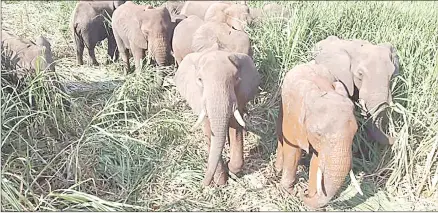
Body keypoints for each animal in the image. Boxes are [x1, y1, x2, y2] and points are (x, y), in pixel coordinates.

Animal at [174, 49, 260, 186]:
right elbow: (209, 132)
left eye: (237, 79)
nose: (202, 184)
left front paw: (231, 171)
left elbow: (235, 127)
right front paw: (221, 182)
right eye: (199, 79)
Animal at [276, 60, 362, 209]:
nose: (302, 191)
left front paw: (310, 199)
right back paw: (277, 169)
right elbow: (293, 150)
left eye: (355, 132)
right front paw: (289, 192)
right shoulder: (294, 114)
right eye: (318, 134)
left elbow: (317, 160)